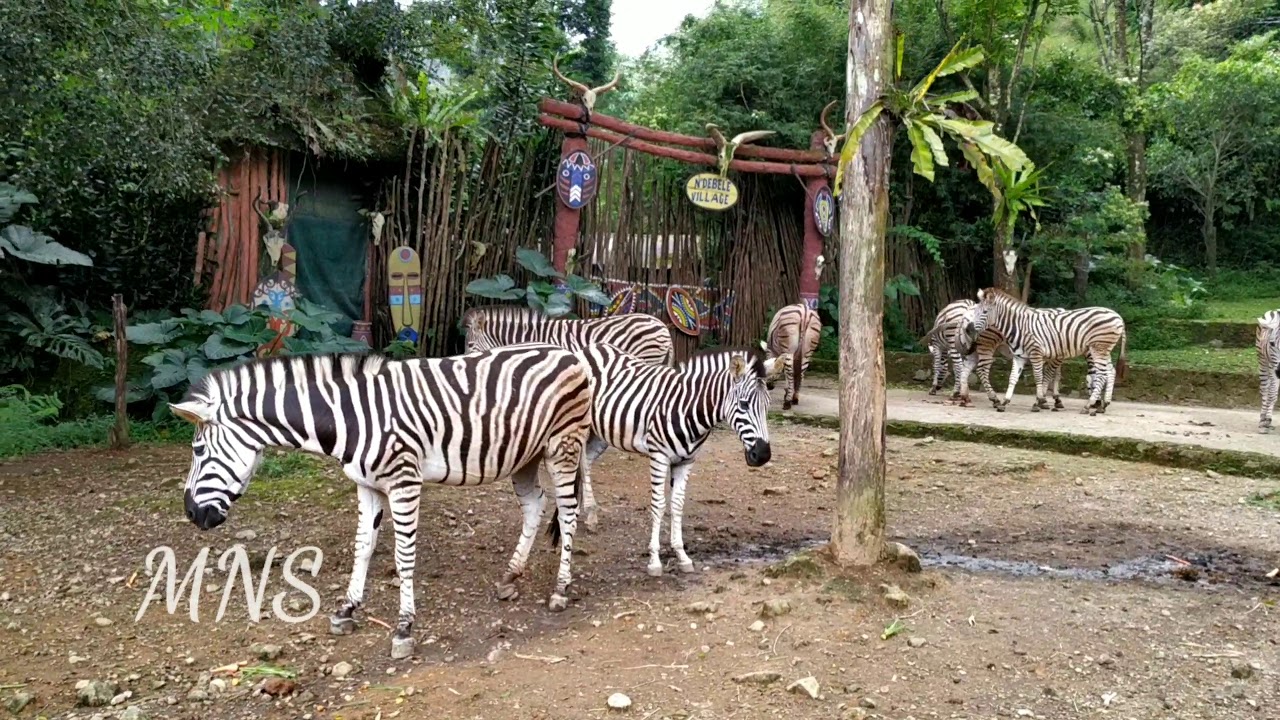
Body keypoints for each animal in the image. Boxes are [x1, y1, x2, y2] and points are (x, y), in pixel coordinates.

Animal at [166, 345, 599, 655]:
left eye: (199, 450)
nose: (191, 513)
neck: (347, 419)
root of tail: (568, 354)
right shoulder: (367, 484)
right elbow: (364, 546)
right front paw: (347, 609)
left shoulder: (404, 482)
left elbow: (403, 555)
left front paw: (404, 627)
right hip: (525, 455)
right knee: (535, 504)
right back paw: (511, 576)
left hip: (562, 446)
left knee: (568, 512)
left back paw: (560, 589)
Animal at [573, 338, 773, 573]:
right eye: (744, 404)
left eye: (768, 406)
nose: (763, 455)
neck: (688, 408)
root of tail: (590, 347)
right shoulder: (659, 456)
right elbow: (659, 505)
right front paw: (654, 560)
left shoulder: (686, 461)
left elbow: (677, 504)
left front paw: (682, 555)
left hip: (602, 433)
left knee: (586, 462)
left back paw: (589, 514)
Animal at [962, 284, 1126, 412]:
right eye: (975, 311)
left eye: (984, 312)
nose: (969, 330)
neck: (1019, 326)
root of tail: (1118, 317)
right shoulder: (1020, 356)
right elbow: (1013, 378)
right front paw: (1005, 402)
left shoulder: (1037, 353)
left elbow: (1040, 377)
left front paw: (1039, 402)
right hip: (1103, 350)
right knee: (1109, 372)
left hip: (1098, 348)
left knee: (1102, 374)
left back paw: (1090, 406)